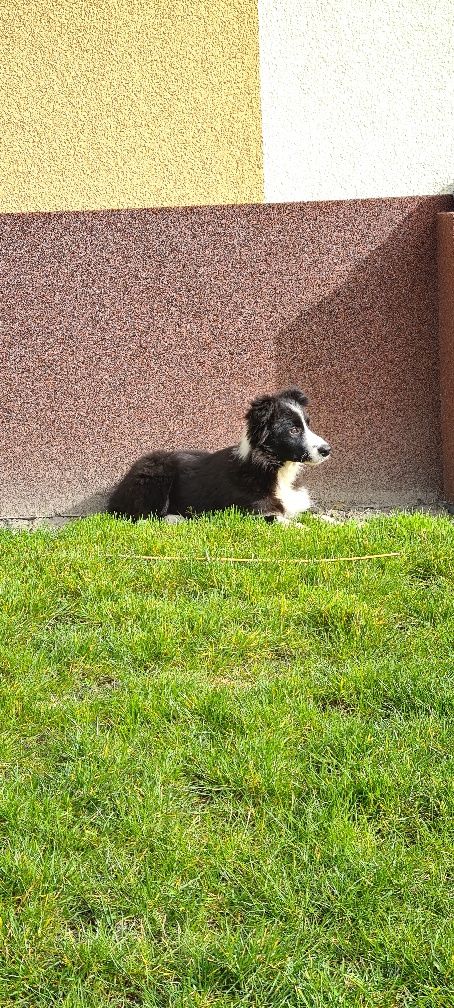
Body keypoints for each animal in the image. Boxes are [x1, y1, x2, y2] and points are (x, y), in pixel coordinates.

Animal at [107, 387, 330, 528]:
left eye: (307, 424)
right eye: (293, 430)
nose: (327, 450)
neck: (274, 468)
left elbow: (317, 515)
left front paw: (333, 523)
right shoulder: (249, 511)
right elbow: (281, 520)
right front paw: (304, 529)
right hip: (156, 474)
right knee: (141, 516)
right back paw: (176, 519)